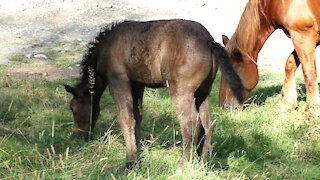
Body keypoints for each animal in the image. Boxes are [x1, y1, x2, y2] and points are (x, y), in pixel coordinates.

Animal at [63, 19, 244, 170]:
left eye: (73, 108)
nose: (77, 135)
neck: (105, 48)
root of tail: (208, 40)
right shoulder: (137, 84)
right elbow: (137, 117)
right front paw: (137, 153)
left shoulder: (118, 80)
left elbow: (126, 119)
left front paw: (130, 163)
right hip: (202, 91)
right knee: (207, 123)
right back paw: (201, 163)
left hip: (181, 91)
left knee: (191, 122)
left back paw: (183, 164)